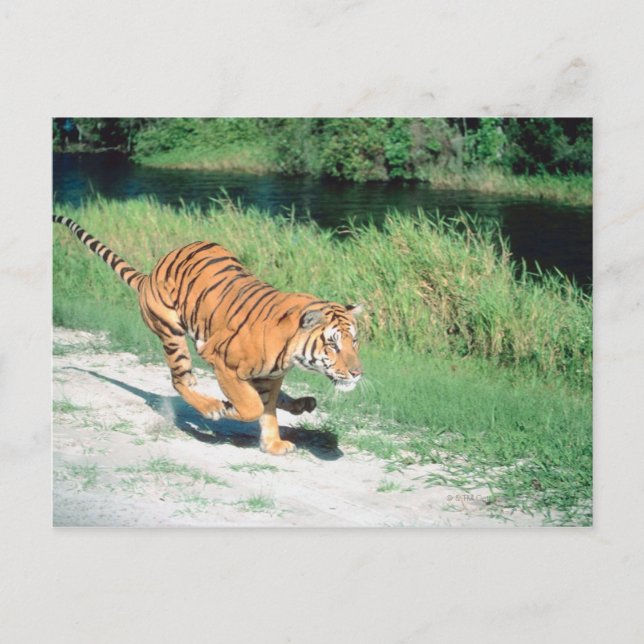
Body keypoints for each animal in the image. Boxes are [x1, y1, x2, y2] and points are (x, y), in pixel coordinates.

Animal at [53, 215, 363, 455]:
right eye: (332, 344)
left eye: (355, 342)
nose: (357, 373)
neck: (290, 353)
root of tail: (149, 275)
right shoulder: (223, 363)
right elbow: (252, 405)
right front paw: (226, 409)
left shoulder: (270, 377)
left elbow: (268, 410)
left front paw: (272, 445)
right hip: (173, 334)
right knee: (180, 380)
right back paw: (211, 406)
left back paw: (301, 403)